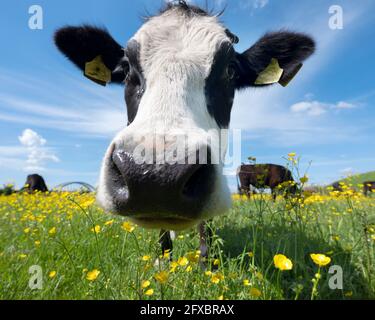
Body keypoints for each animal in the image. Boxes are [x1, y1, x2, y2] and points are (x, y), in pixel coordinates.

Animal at [54, 0, 316, 258]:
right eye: (126, 69)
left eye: (230, 70)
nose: (157, 176)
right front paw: (164, 260)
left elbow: (205, 226)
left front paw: (207, 261)